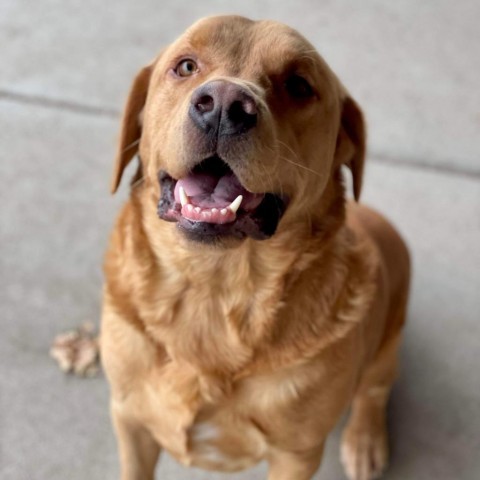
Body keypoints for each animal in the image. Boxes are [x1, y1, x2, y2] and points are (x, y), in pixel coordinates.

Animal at [101, 15, 408, 480]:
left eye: (298, 85)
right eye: (186, 66)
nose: (223, 106)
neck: (213, 287)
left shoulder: (296, 454)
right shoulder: (130, 419)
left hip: (388, 342)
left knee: (374, 390)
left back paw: (364, 439)